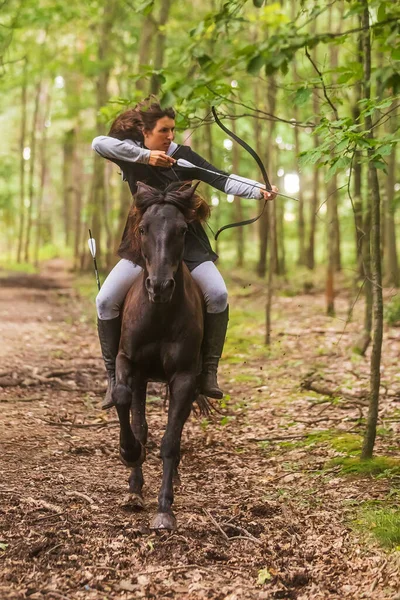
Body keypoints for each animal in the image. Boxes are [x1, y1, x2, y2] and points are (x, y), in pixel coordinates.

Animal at [111, 180, 208, 528]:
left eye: (182, 230)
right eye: (143, 228)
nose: (160, 287)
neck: (159, 314)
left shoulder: (184, 376)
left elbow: (170, 440)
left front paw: (165, 508)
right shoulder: (128, 362)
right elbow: (124, 402)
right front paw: (129, 453)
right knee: (139, 421)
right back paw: (134, 487)